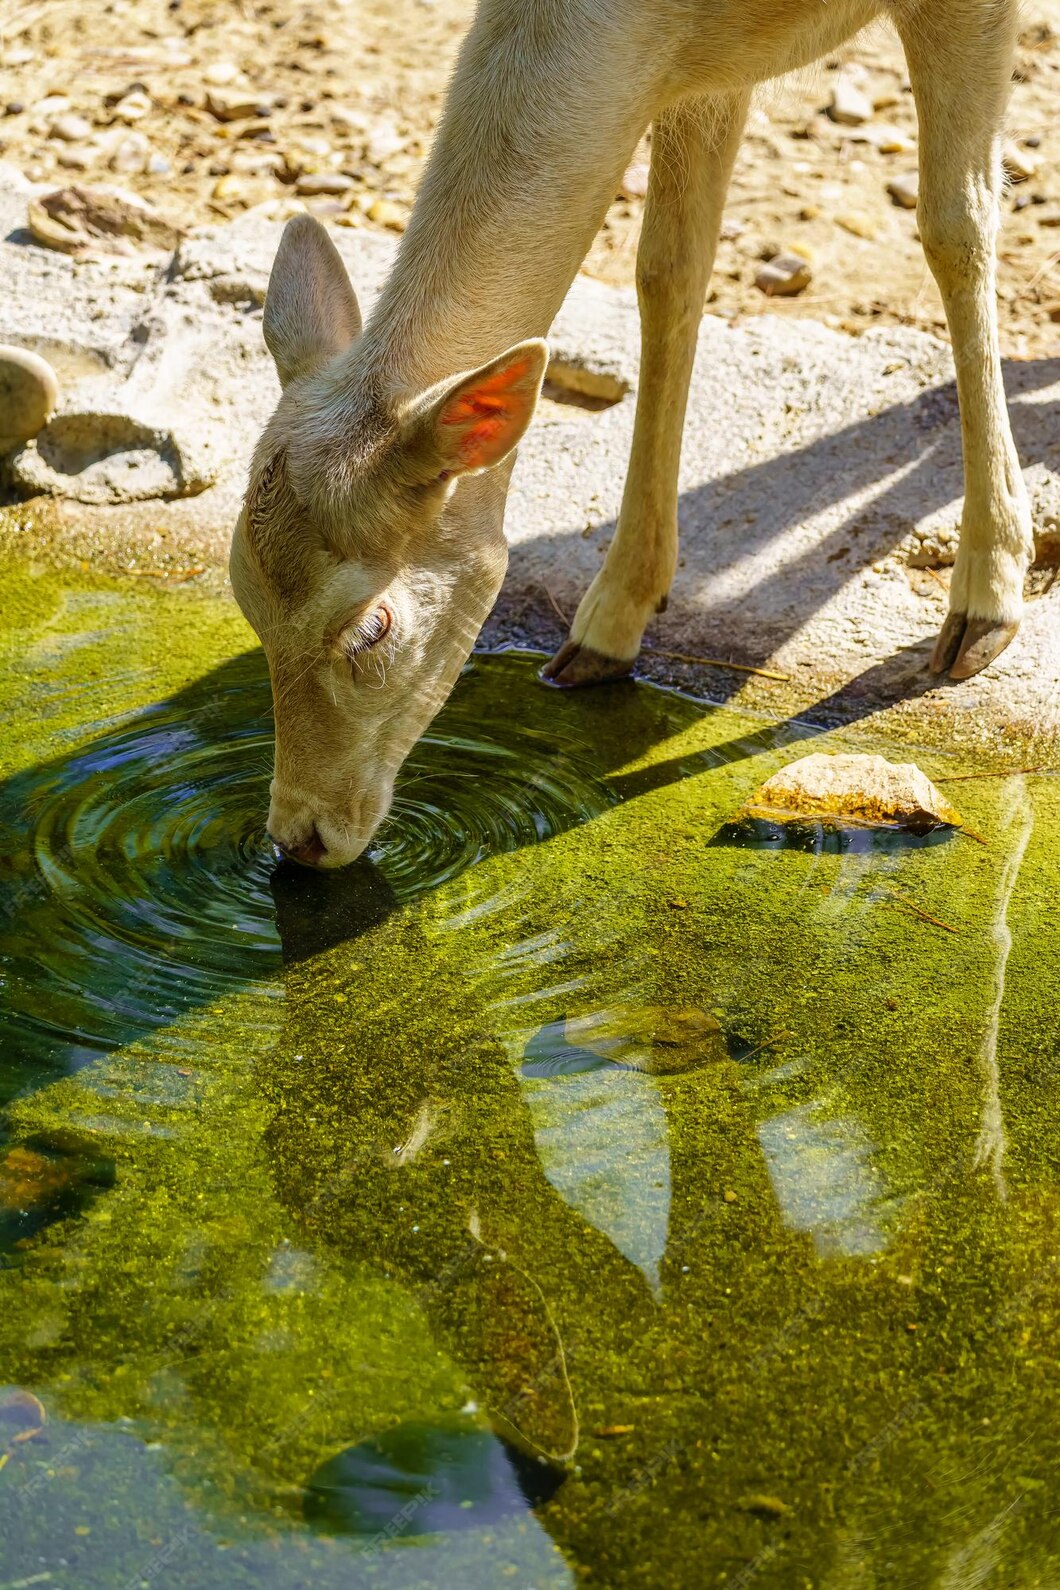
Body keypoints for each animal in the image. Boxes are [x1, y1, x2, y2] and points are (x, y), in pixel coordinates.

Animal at [230, 0, 1036, 871]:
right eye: (244, 598)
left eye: (372, 629)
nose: (301, 836)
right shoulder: (700, 71)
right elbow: (667, 271)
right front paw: (609, 624)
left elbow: (958, 226)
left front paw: (985, 607)